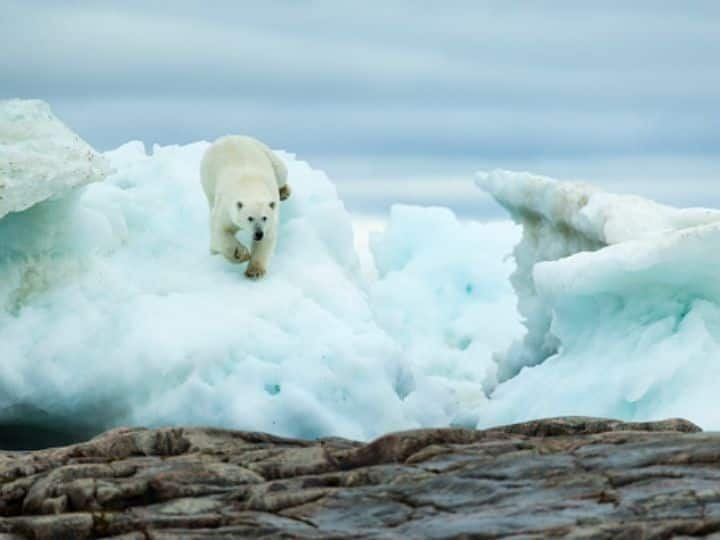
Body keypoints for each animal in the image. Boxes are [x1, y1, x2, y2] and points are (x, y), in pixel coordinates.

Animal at [200, 135, 290, 278]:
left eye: (264, 217)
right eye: (250, 218)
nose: (258, 233)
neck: (249, 185)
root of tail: (228, 137)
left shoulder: (270, 220)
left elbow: (266, 240)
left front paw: (255, 271)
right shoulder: (226, 208)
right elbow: (220, 230)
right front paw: (240, 254)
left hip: (263, 149)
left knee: (281, 171)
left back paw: (284, 192)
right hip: (207, 177)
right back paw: (213, 250)